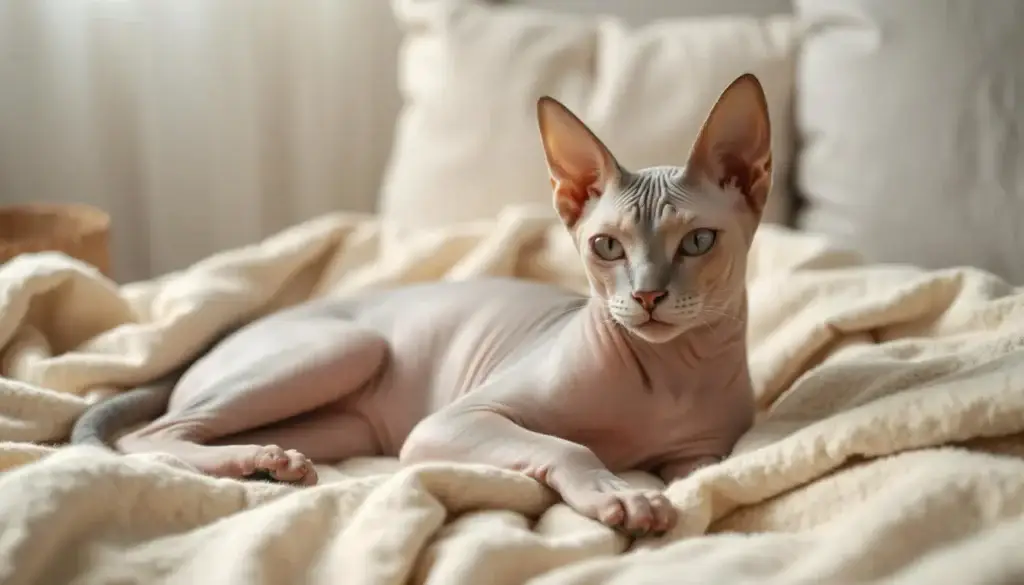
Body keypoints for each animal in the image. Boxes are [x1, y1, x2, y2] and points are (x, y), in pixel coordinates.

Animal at [72, 73, 770, 536]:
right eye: (606, 247)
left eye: (697, 241)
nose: (646, 296)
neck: (667, 378)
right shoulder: (450, 423)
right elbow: (569, 447)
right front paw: (620, 495)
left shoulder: (702, 453)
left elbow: (701, 472)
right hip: (349, 346)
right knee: (148, 436)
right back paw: (253, 463)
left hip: (343, 424)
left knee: (191, 431)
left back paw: (267, 465)